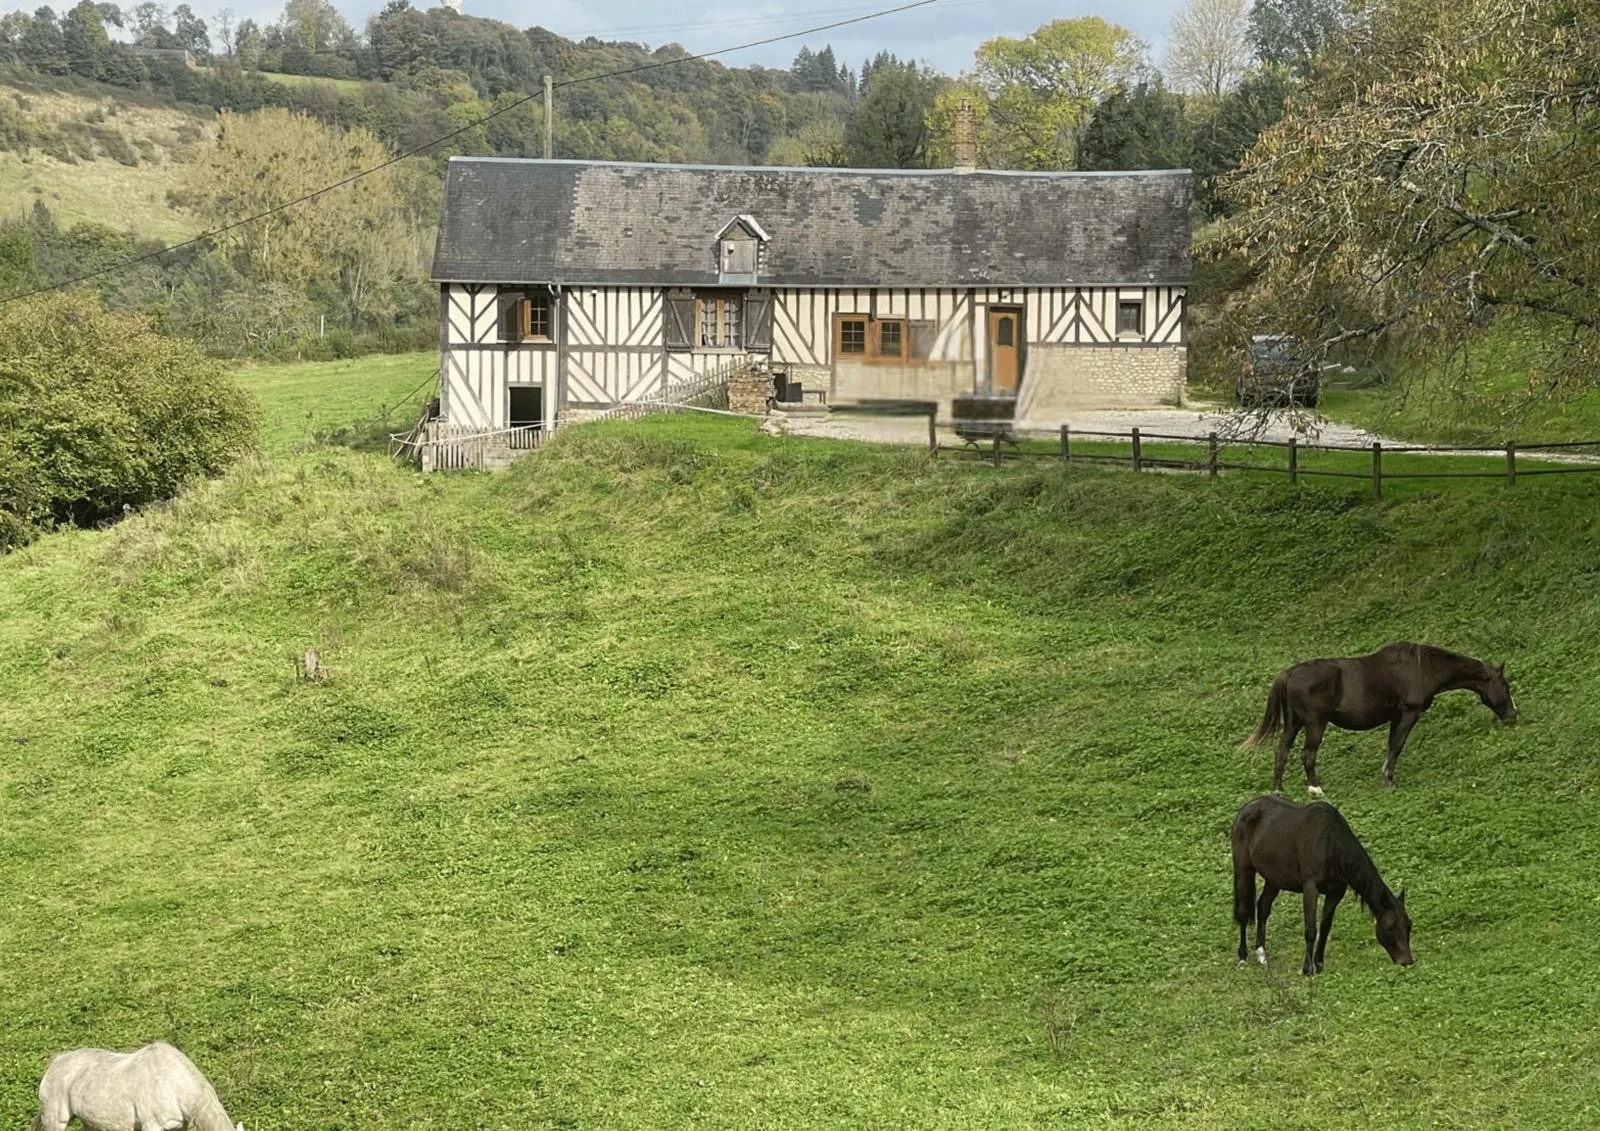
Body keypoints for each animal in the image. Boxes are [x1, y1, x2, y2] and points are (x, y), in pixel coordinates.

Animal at [1235, 796, 1414, 972]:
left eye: (1409, 925)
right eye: (1390, 926)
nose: (1407, 961)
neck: (1329, 844)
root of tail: (1248, 807)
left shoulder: (1335, 893)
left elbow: (1325, 927)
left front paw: (1319, 964)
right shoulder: (1310, 889)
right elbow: (1311, 930)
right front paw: (1307, 969)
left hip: (1274, 879)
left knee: (1263, 908)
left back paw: (1261, 955)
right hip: (1244, 870)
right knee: (1243, 912)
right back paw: (1243, 957)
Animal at [1241, 643, 1516, 793]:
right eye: (1505, 685)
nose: (1513, 715)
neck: (1422, 667)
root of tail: (1288, 673)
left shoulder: (1395, 717)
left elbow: (1391, 745)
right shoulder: (1409, 713)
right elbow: (1397, 746)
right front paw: (1389, 780)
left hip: (1293, 723)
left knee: (1282, 751)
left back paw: (1278, 789)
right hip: (1315, 724)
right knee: (1307, 754)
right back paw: (1315, 788)